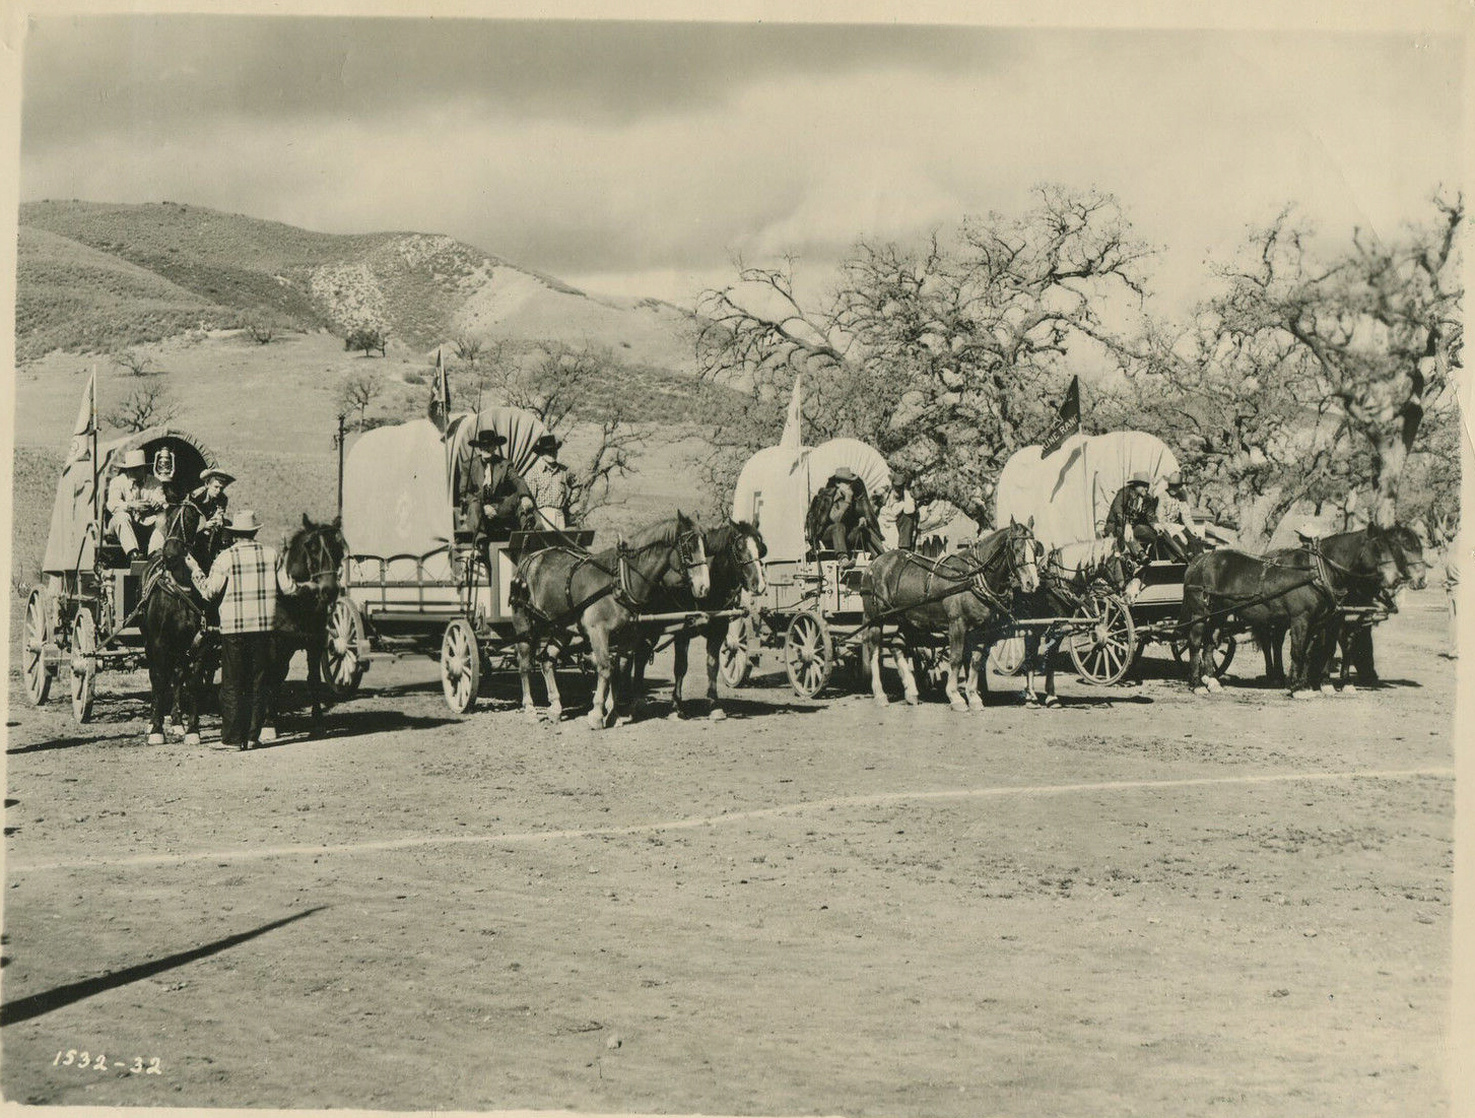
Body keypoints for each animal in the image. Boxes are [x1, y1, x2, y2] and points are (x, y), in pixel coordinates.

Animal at [510, 513, 710, 731]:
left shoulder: (628, 635)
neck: (619, 581)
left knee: (547, 659)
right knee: (524, 664)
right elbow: (605, 668)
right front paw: (597, 713)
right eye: (688, 547)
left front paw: (614, 714)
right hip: (524, 623)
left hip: (562, 628)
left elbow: (620, 669)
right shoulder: (598, 631)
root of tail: (531, 557)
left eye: (705, 545)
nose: (704, 588)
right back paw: (529, 708)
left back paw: (555, 707)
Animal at [861, 522, 1044, 713]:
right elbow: (956, 659)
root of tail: (873, 564)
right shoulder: (957, 624)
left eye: (1036, 549)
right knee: (874, 650)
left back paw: (911, 691)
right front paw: (955, 696)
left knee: (896, 645)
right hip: (875, 618)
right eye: (1017, 549)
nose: (1032, 583)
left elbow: (975, 661)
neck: (973, 577)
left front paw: (973, 696)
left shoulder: (983, 629)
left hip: (907, 619)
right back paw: (880, 694)